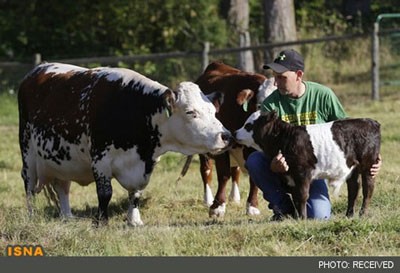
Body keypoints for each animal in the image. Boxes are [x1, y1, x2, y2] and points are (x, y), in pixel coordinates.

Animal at [18, 62, 231, 225]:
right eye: (190, 112)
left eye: (213, 111)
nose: (226, 135)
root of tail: (37, 70)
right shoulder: (101, 160)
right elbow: (105, 193)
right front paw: (101, 222)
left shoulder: (145, 165)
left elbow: (136, 194)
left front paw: (134, 220)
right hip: (28, 155)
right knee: (29, 188)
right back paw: (31, 217)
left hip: (63, 162)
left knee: (62, 186)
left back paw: (67, 217)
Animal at [234, 109, 382, 218]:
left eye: (249, 125)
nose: (235, 133)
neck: (285, 138)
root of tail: (371, 122)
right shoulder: (291, 175)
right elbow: (296, 196)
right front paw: (298, 217)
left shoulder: (302, 172)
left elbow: (302, 195)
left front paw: (303, 219)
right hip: (353, 168)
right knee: (354, 189)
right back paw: (349, 216)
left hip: (368, 165)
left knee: (368, 189)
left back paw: (362, 215)